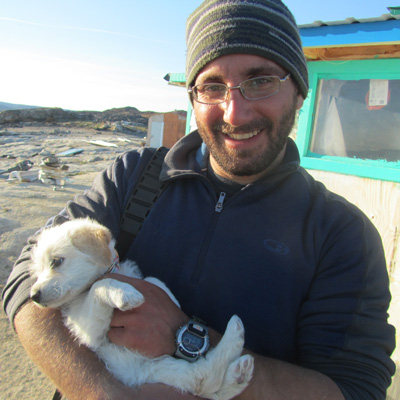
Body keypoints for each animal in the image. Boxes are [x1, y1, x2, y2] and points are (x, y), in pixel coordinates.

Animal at [29, 219, 253, 400]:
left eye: (56, 261)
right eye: (38, 270)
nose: (33, 296)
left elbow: (153, 280)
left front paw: (172, 299)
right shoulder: (89, 331)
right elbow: (99, 285)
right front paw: (125, 294)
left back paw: (238, 370)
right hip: (148, 369)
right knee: (203, 379)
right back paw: (236, 342)